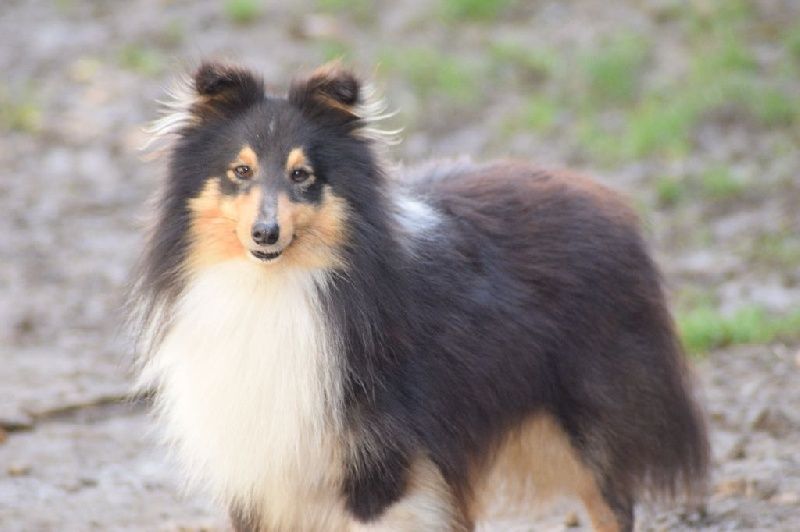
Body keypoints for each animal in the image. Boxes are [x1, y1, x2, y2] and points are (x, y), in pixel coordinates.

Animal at [128, 60, 708, 528]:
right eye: (240, 170)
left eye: (303, 175)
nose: (265, 234)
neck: (274, 289)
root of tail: (604, 199)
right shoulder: (258, 473)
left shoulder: (380, 469)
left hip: (585, 419)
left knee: (613, 504)